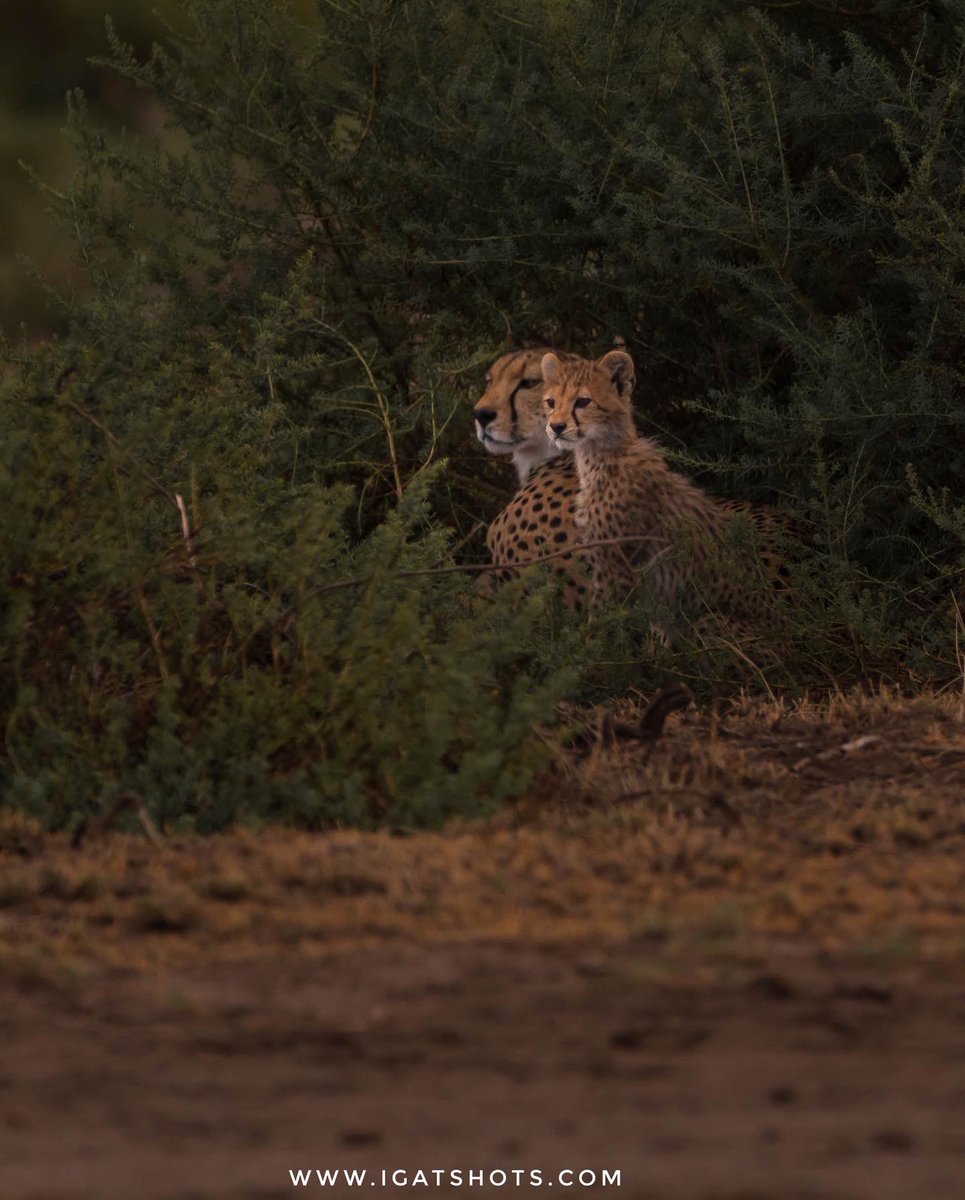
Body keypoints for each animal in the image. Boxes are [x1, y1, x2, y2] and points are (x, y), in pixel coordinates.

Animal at [540, 349, 792, 636]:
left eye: (583, 401)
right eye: (551, 402)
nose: (556, 427)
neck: (602, 455)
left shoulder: (616, 568)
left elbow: (603, 629)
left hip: (708, 620)